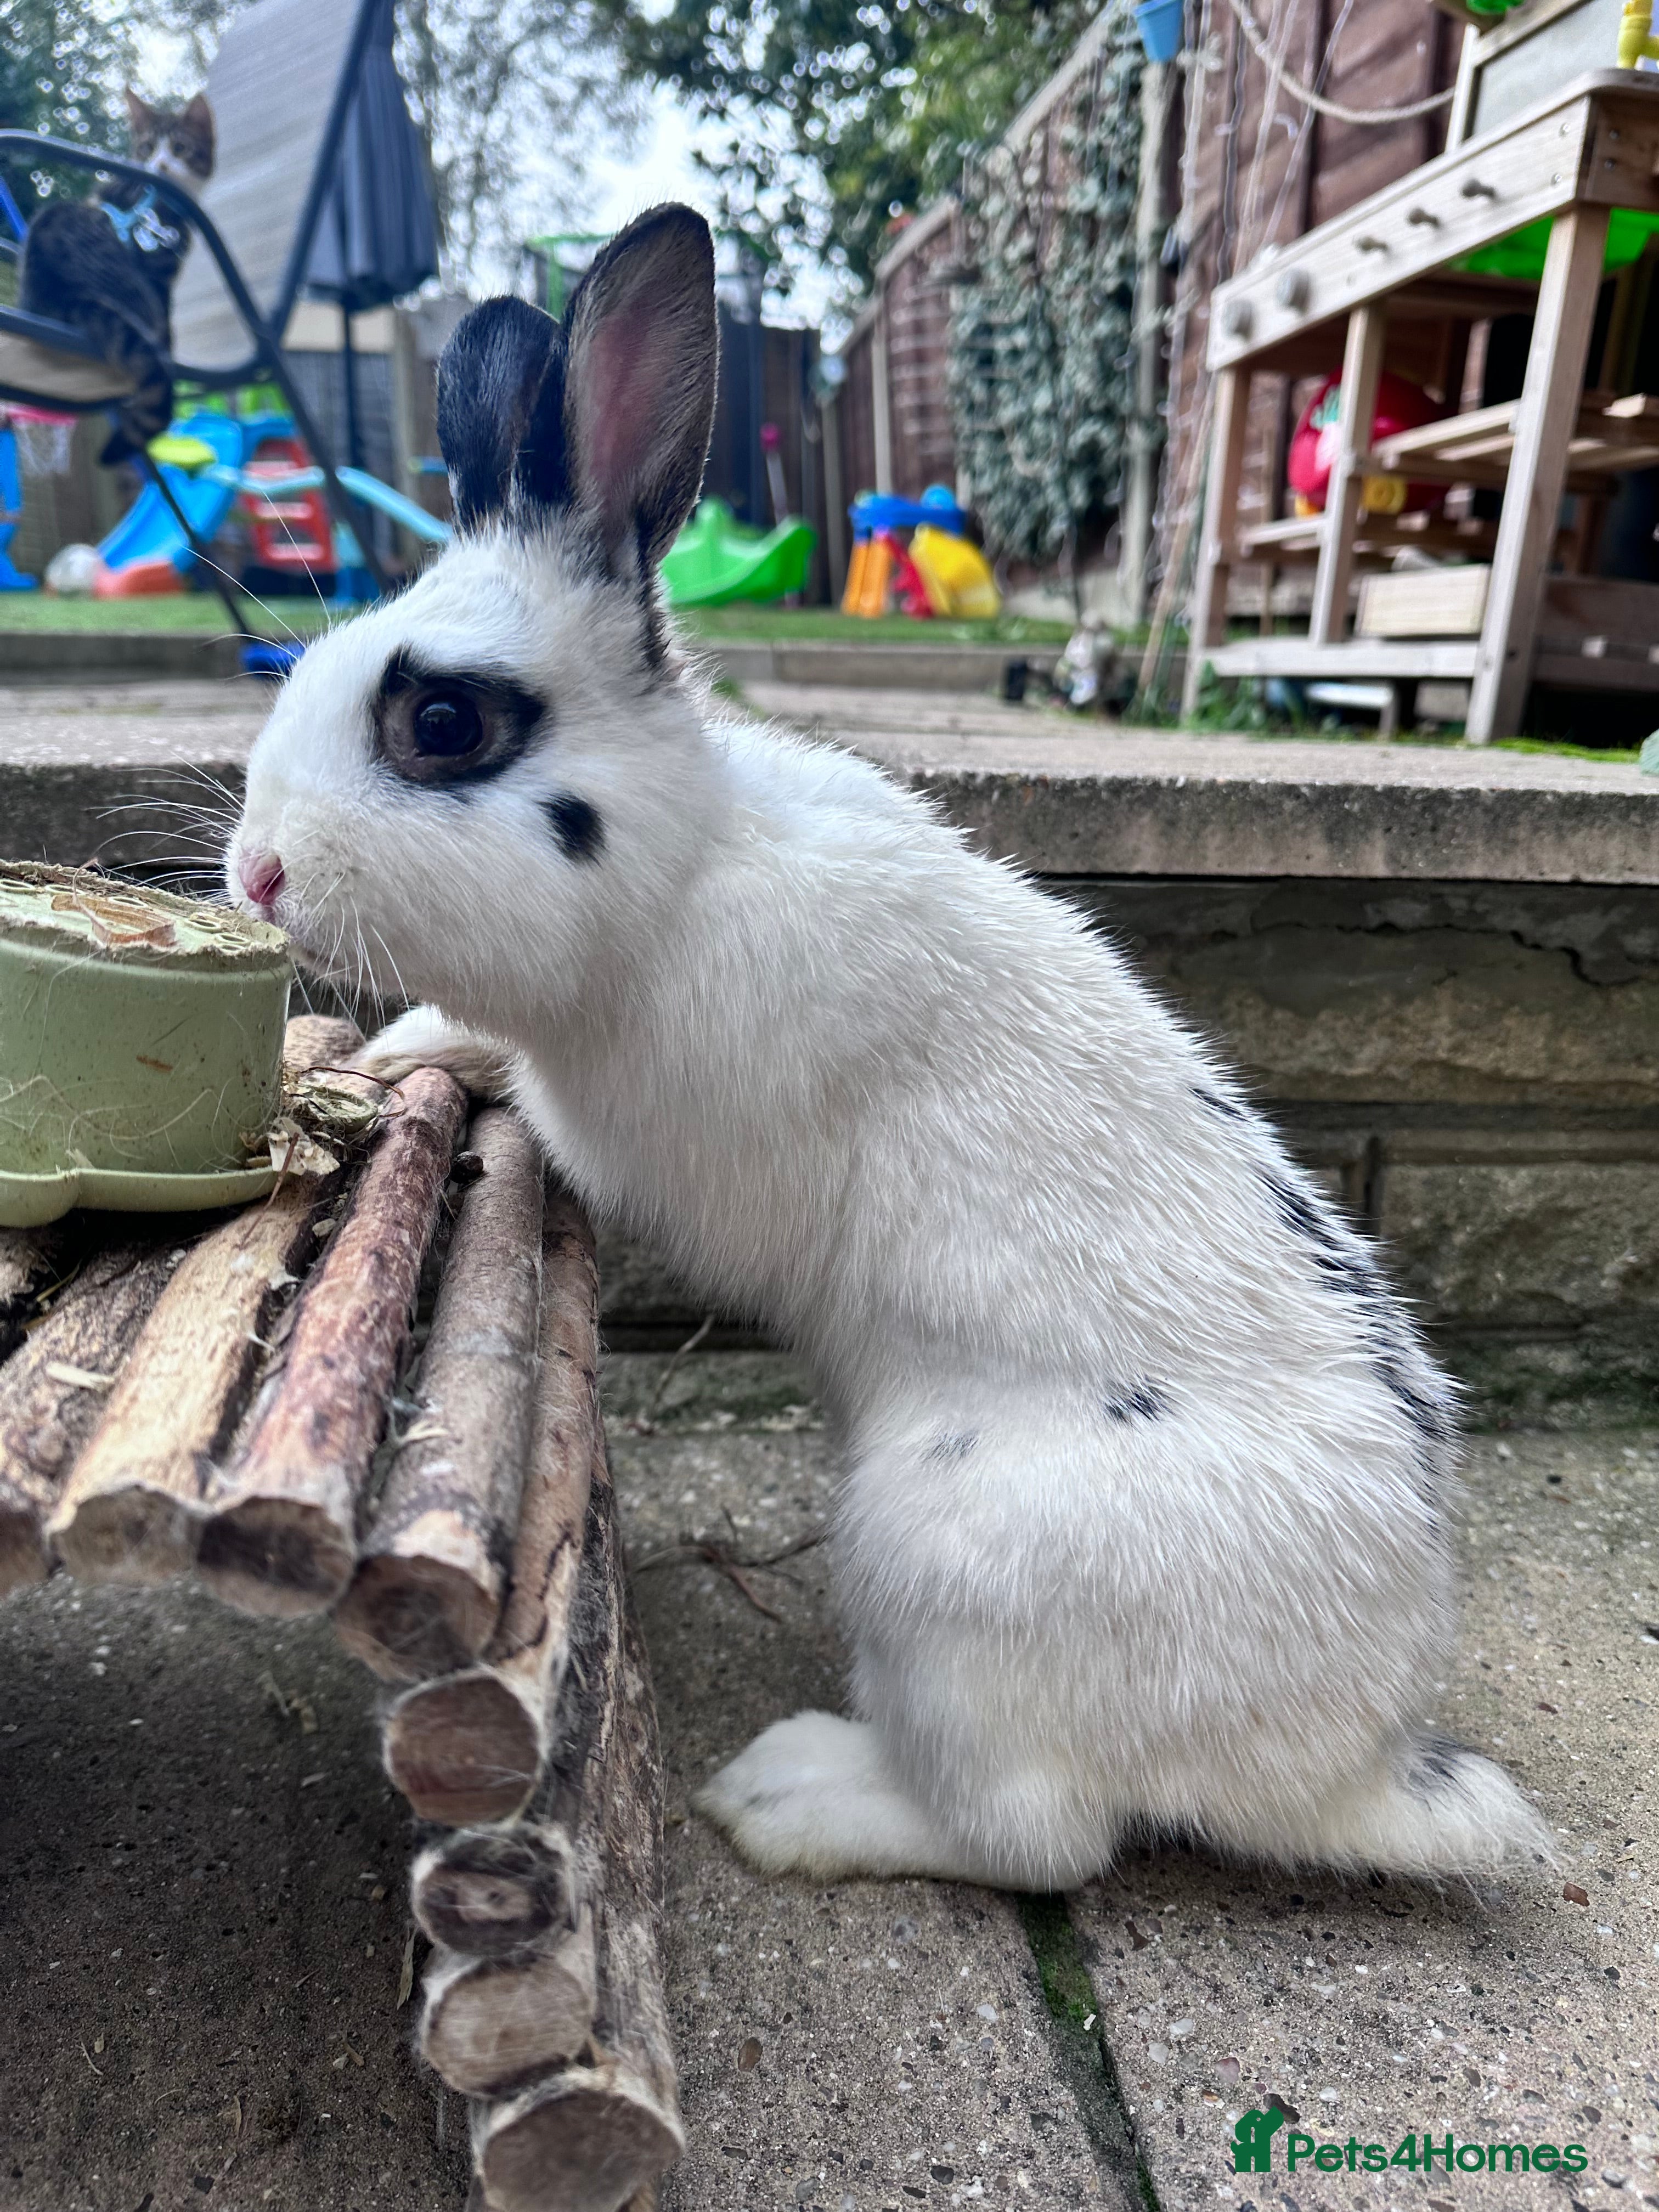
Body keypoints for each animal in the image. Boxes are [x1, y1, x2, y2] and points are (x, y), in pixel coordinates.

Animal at [226, 205, 1549, 1890]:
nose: (257, 873)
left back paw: (788, 1798)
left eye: (446, 725)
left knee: (1035, 1839)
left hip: (940, 1561)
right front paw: (384, 1052)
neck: (688, 869)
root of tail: (1348, 1767)